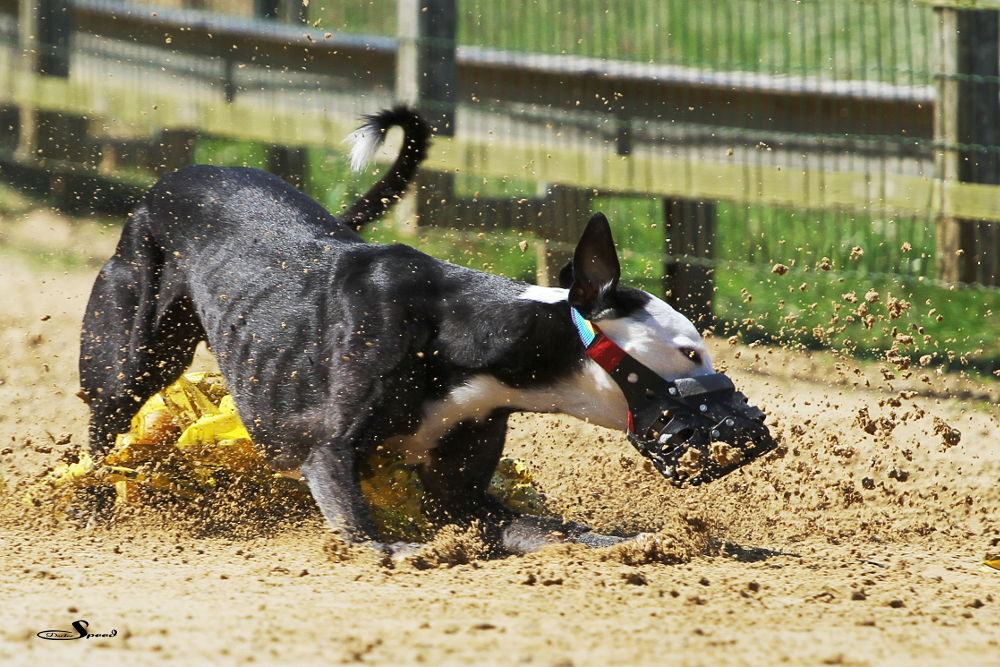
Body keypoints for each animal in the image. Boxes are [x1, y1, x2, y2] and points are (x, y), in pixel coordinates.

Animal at [84, 109, 772, 556]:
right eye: (690, 352)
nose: (755, 431)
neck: (468, 335)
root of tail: (173, 180)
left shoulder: (459, 493)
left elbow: (551, 531)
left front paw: (626, 540)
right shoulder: (329, 452)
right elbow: (369, 535)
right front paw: (405, 551)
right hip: (132, 359)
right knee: (102, 433)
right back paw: (90, 506)